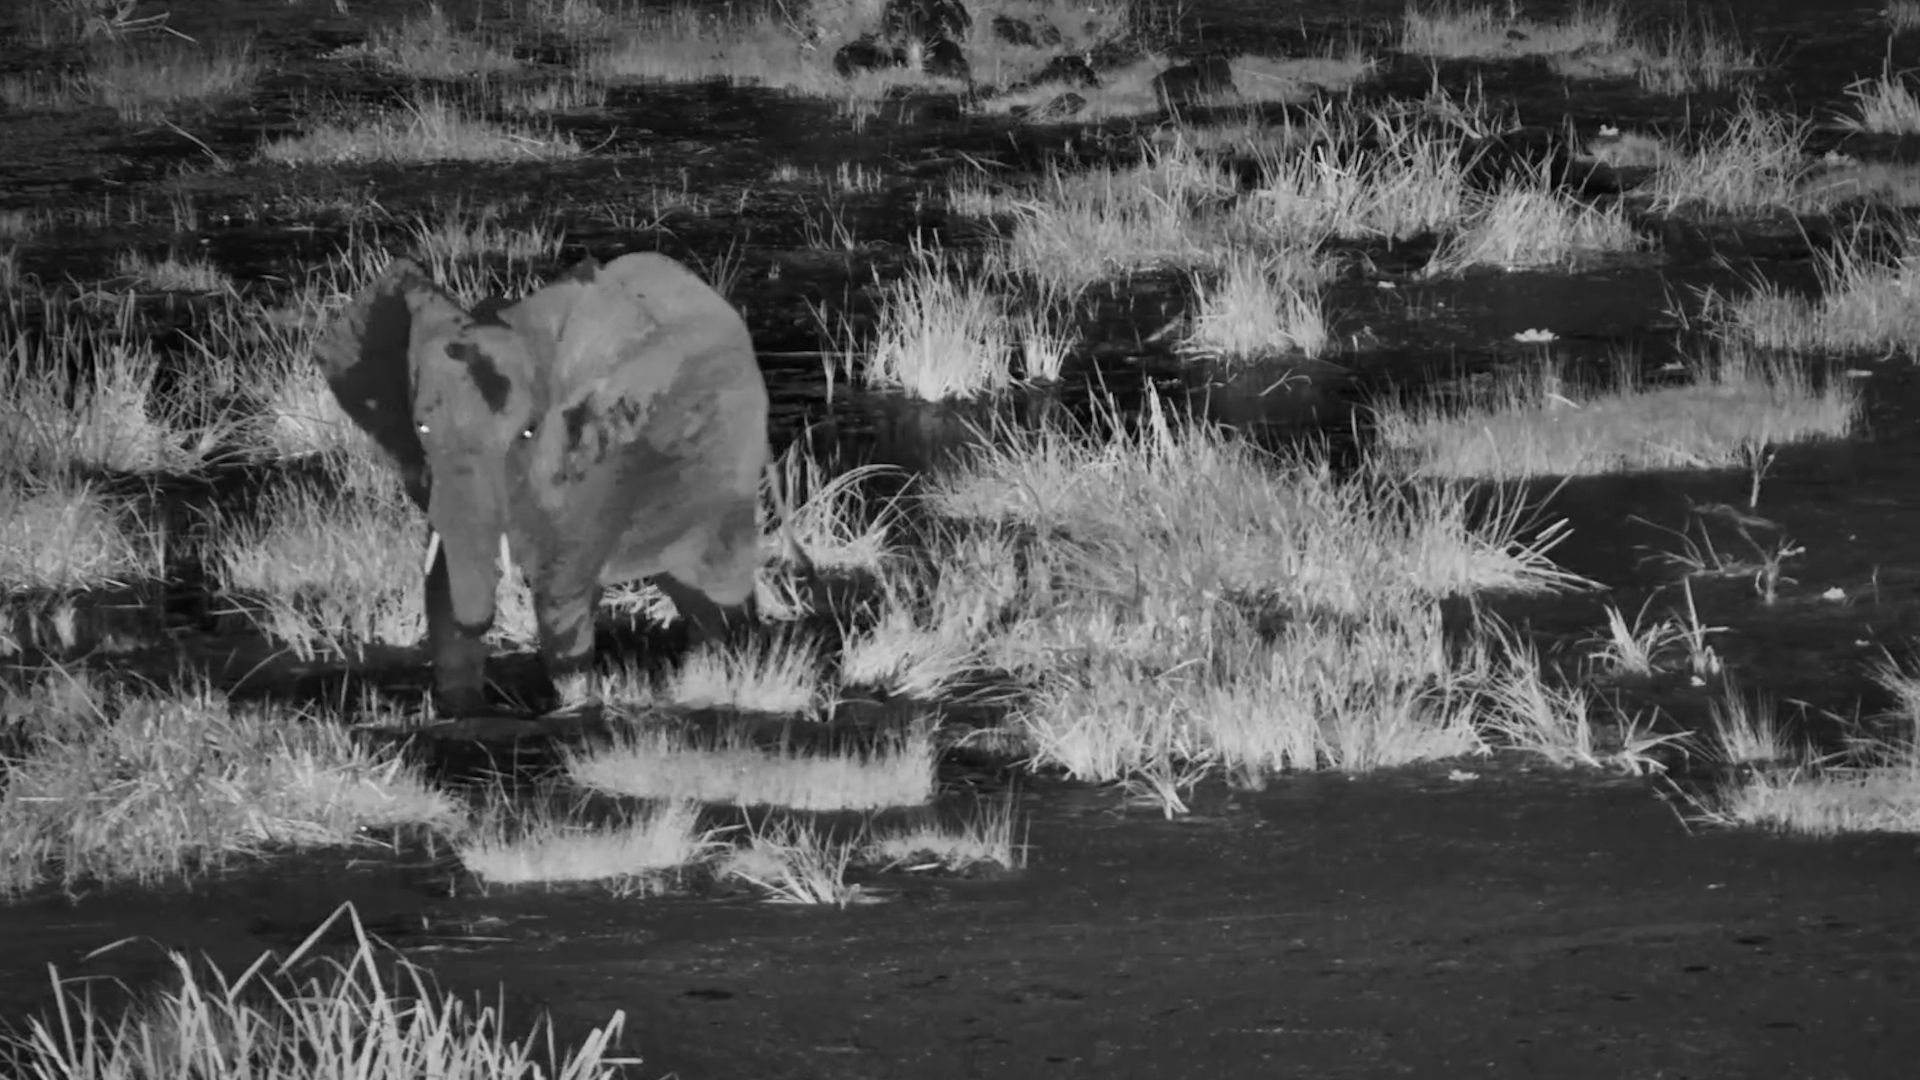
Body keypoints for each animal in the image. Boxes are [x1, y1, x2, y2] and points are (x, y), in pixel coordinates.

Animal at [314, 251, 773, 717]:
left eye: (528, 433)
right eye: (421, 427)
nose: (486, 620)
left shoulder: (601, 455)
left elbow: (564, 573)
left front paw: (575, 698)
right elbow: (441, 568)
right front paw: (462, 708)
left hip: (731, 459)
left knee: (714, 575)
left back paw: (733, 664)